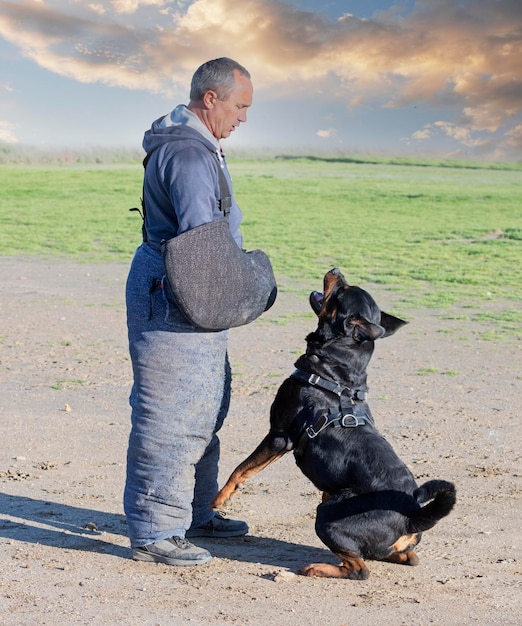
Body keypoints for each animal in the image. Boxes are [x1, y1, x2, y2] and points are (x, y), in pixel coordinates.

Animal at [211, 266, 456, 576]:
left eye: (341, 291)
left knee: (359, 569)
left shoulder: (278, 436)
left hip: (327, 515)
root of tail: (411, 517)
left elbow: (239, 470)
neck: (334, 372)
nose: (335, 270)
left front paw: (219, 499)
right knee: (404, 557)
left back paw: (317, 568)